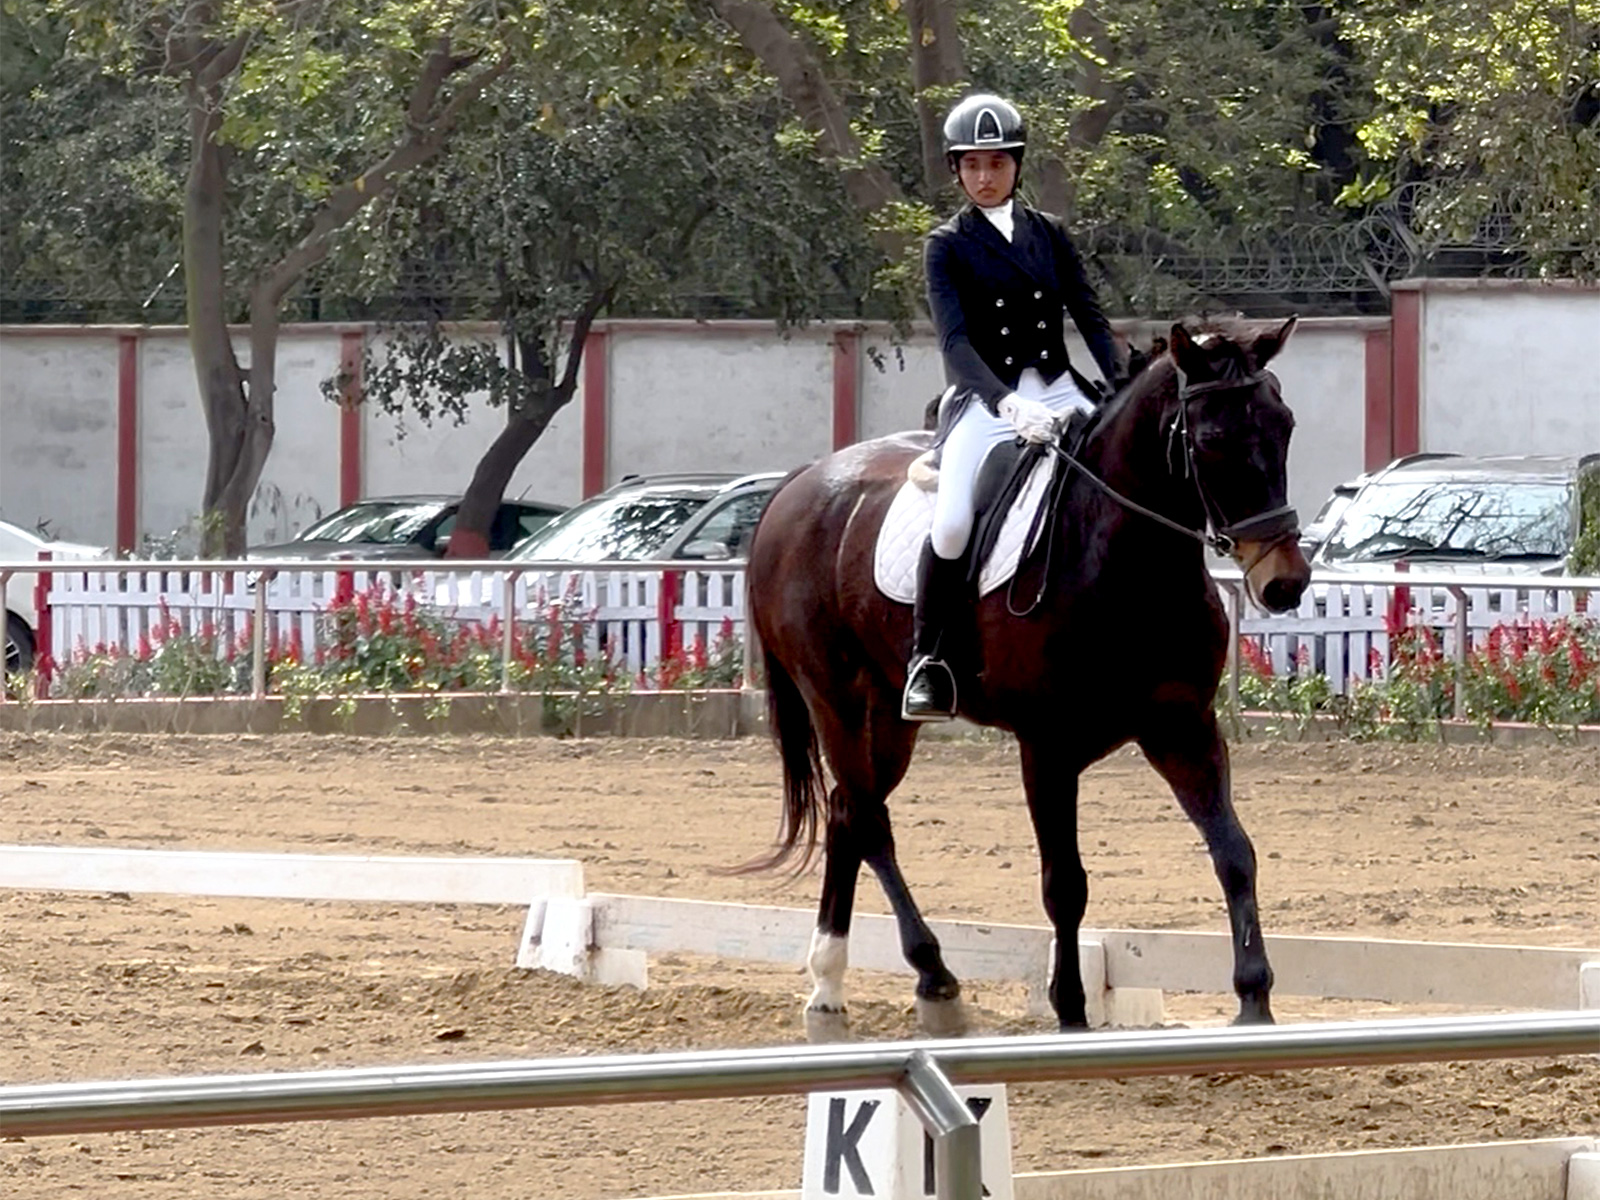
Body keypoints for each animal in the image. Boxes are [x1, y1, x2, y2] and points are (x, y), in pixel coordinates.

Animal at [744, 319, 1310, 1040]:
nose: (1284, 582)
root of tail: (801, 482)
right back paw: (933, 976)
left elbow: (1234, 851)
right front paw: (1069, 1010)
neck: (1126, 564)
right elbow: (1064, 882)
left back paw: (828, 982)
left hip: (889, 713)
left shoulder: (1183, 727)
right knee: (868, 818)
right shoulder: (1046, 746)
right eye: (1210, 439)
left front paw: (1254, 999)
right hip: (833, 695)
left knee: (849, 808)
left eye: (1284, 424)